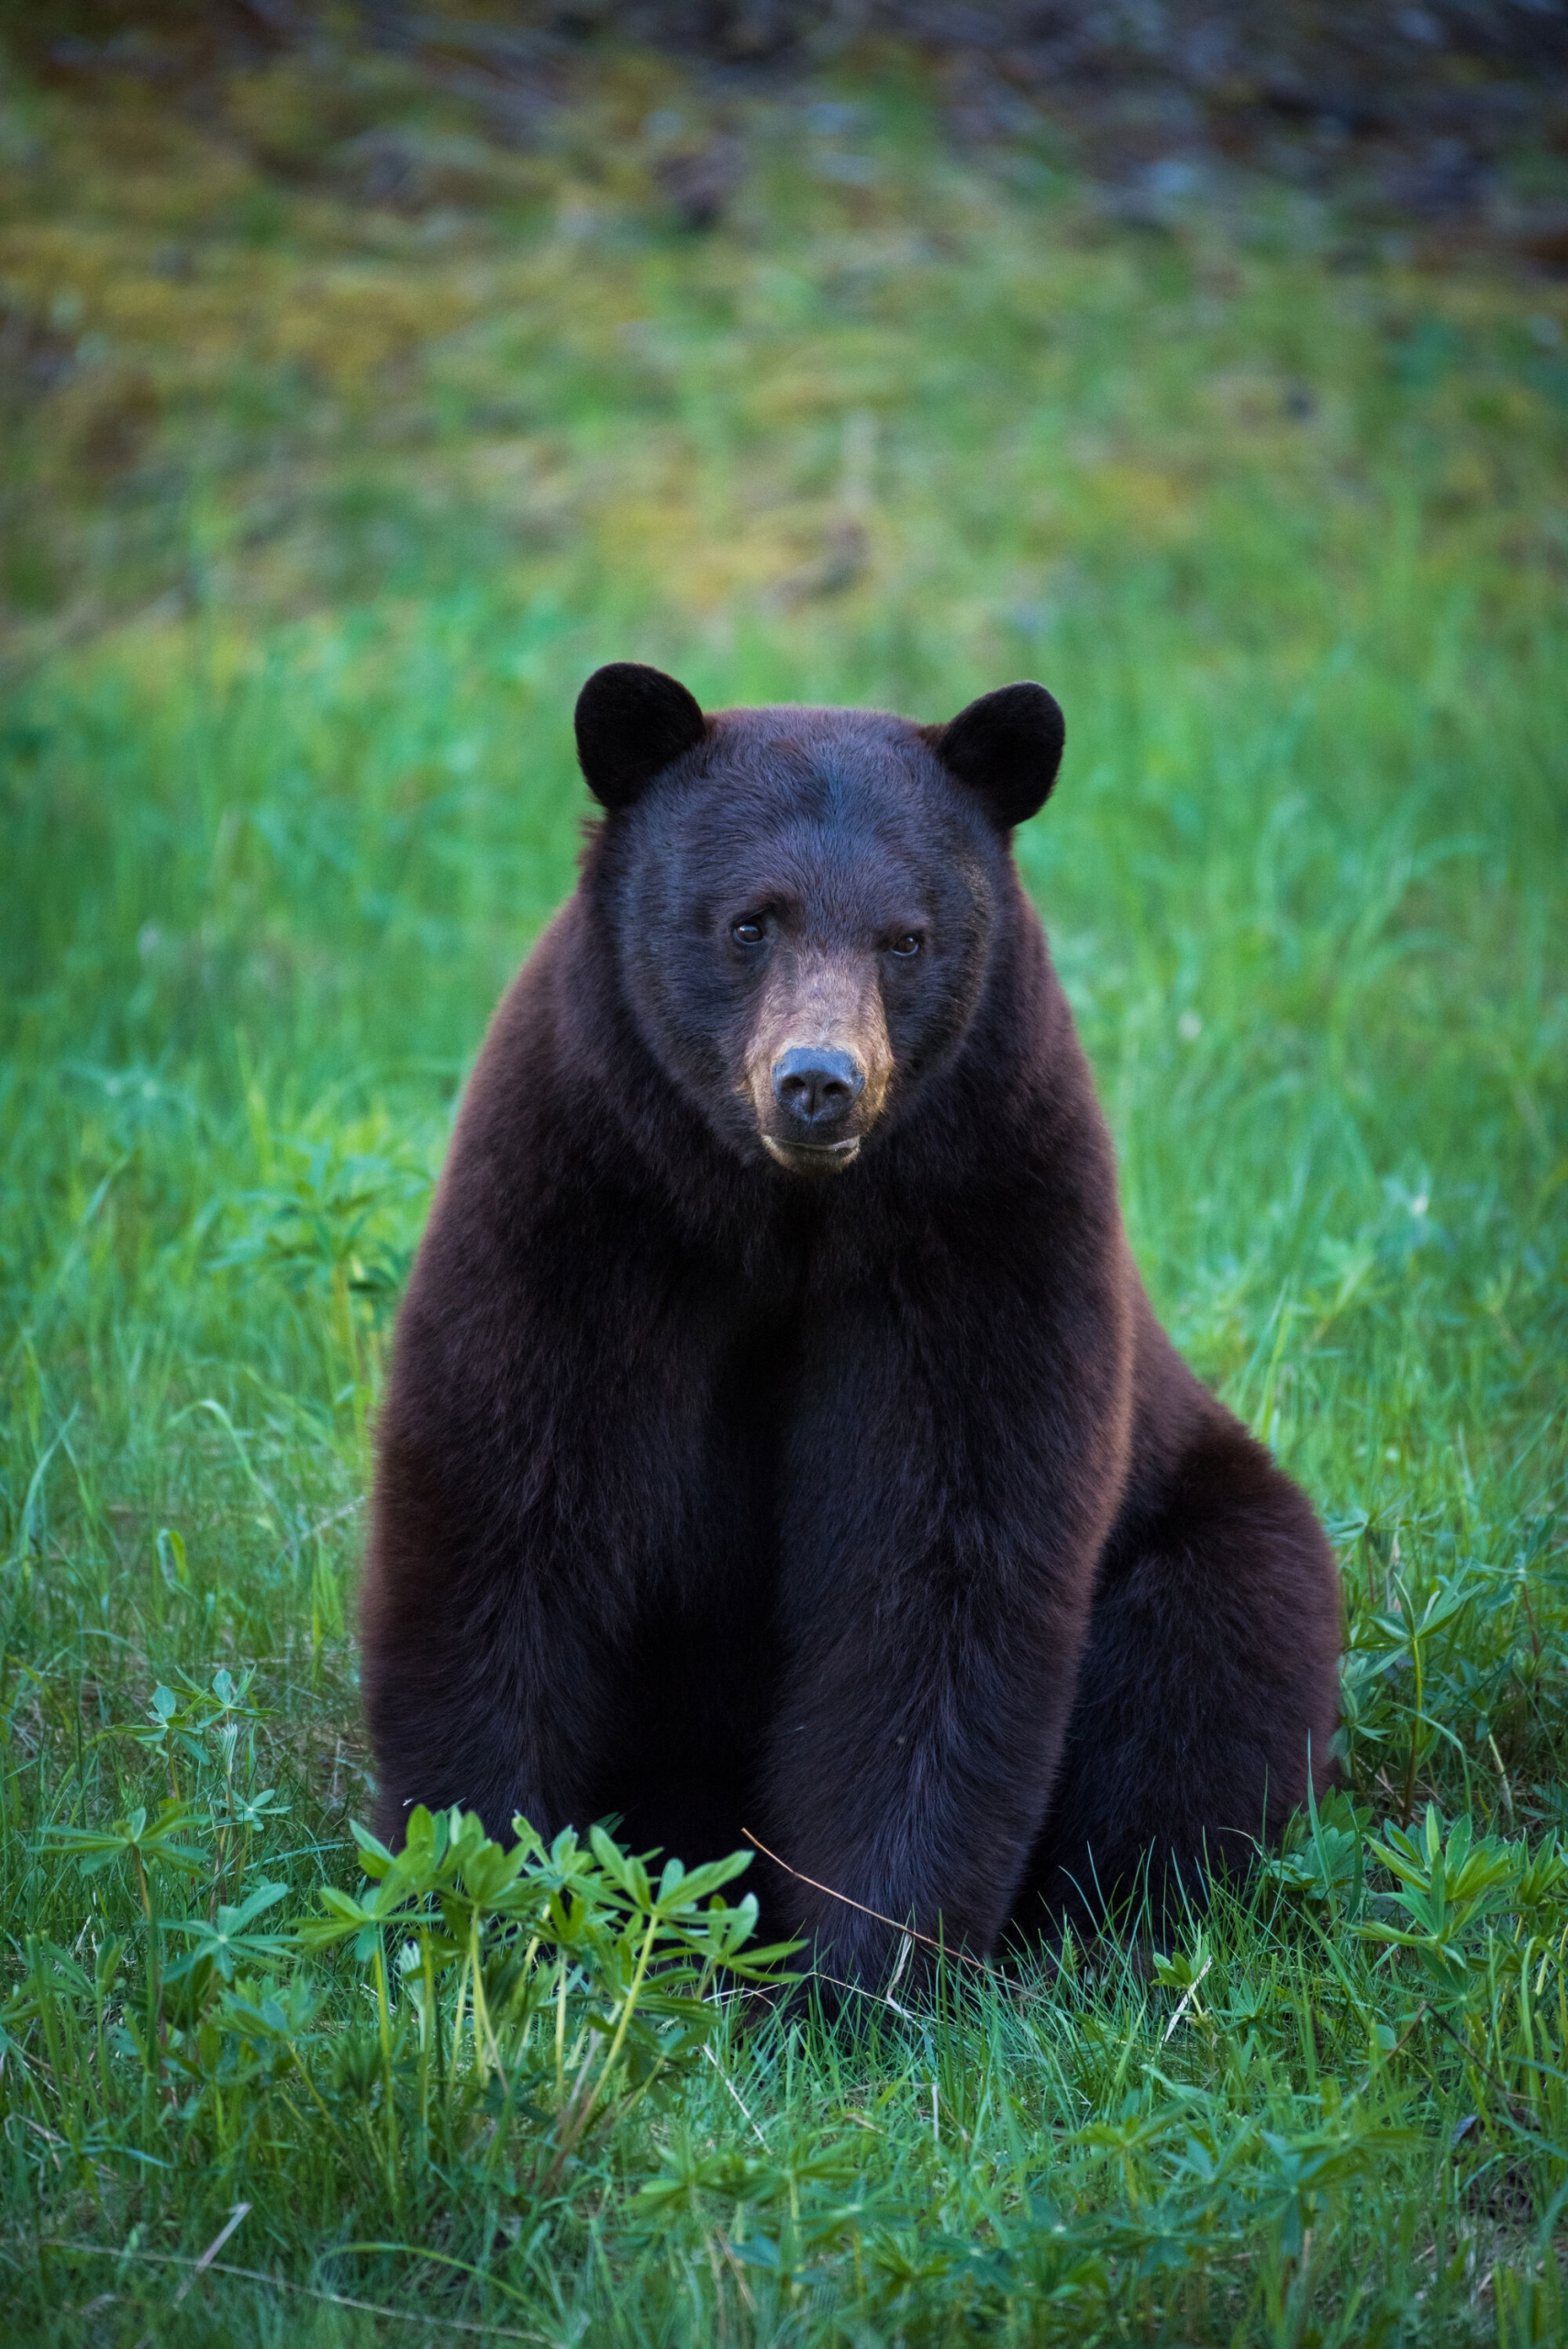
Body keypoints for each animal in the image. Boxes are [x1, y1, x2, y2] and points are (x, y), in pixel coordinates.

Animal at [361, 667, 1342, 1982]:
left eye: (905, 938)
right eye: (748, 924)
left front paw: (858, 1968)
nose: (818, 1081)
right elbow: (505, 1503)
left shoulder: (983, 1222)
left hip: (1217, 1532)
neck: (784, 1221)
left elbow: (940, 1560)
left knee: (1207, 1679)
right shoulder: (581, 1196)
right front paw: (485, 1894)